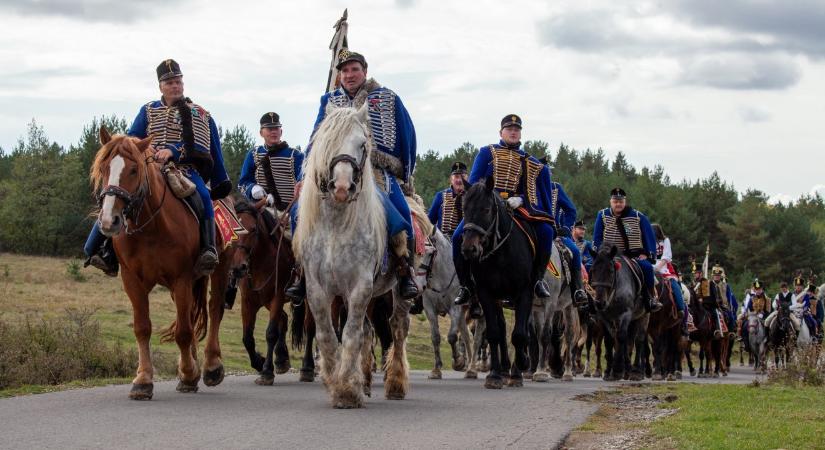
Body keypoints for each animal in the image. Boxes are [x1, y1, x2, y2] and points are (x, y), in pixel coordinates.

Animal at [91, 126, 225, 398]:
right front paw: (143, 380)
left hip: (217, 272)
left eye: (134, 170)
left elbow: (183, 332)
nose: (109, 221)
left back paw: (211, 367)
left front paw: (188, 373)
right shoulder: (132, 279)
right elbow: (142, 327)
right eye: (104, 168)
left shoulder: (181, 278)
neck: (151, 227)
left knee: (214, 309)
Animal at [296, 103, 412, 408]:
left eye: (362, 144)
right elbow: (327, 335)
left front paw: (347, 390)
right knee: (369, 330)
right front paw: (334, 379)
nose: (341, 187)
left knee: (397, 328)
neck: (336, 226)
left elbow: (350, 335)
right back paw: (366, 381)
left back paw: (395, 383)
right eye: (328, 141)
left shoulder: (360, 286)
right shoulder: (318, 289)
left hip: (397, 292)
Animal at [418, 229, 476, 380]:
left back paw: (472, 368)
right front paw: (436, 370)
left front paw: (458, 361)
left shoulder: (455, 308)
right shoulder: (429, 308)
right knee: (467, 336)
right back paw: (469, 369)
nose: (419, 284)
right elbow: (435, 337)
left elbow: (451, 336)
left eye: (430, 252)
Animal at [460, 178, 544, 388]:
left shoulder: (524, 292)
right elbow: (494, 333)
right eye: (464, 208)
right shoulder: (486, 293)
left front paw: (521, 366)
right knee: (502, 327)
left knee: (523, 330)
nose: (469, 249)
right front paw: (495, 375)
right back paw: (504, 369)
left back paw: (516, 369)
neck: (501, 253)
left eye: (486, 209)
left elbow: (520, 334)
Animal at [592, 244, 652, 382]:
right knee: (626, 342)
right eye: (593, 270)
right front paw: (609, 371)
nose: (599, 303)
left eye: (610, 271)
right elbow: (610, 341)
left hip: (643, 316)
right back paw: (627, 369)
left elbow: (620, 337)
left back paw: (636, 371)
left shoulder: (625, 314)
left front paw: (617, 370)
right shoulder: (604, 318)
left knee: (638, 340)